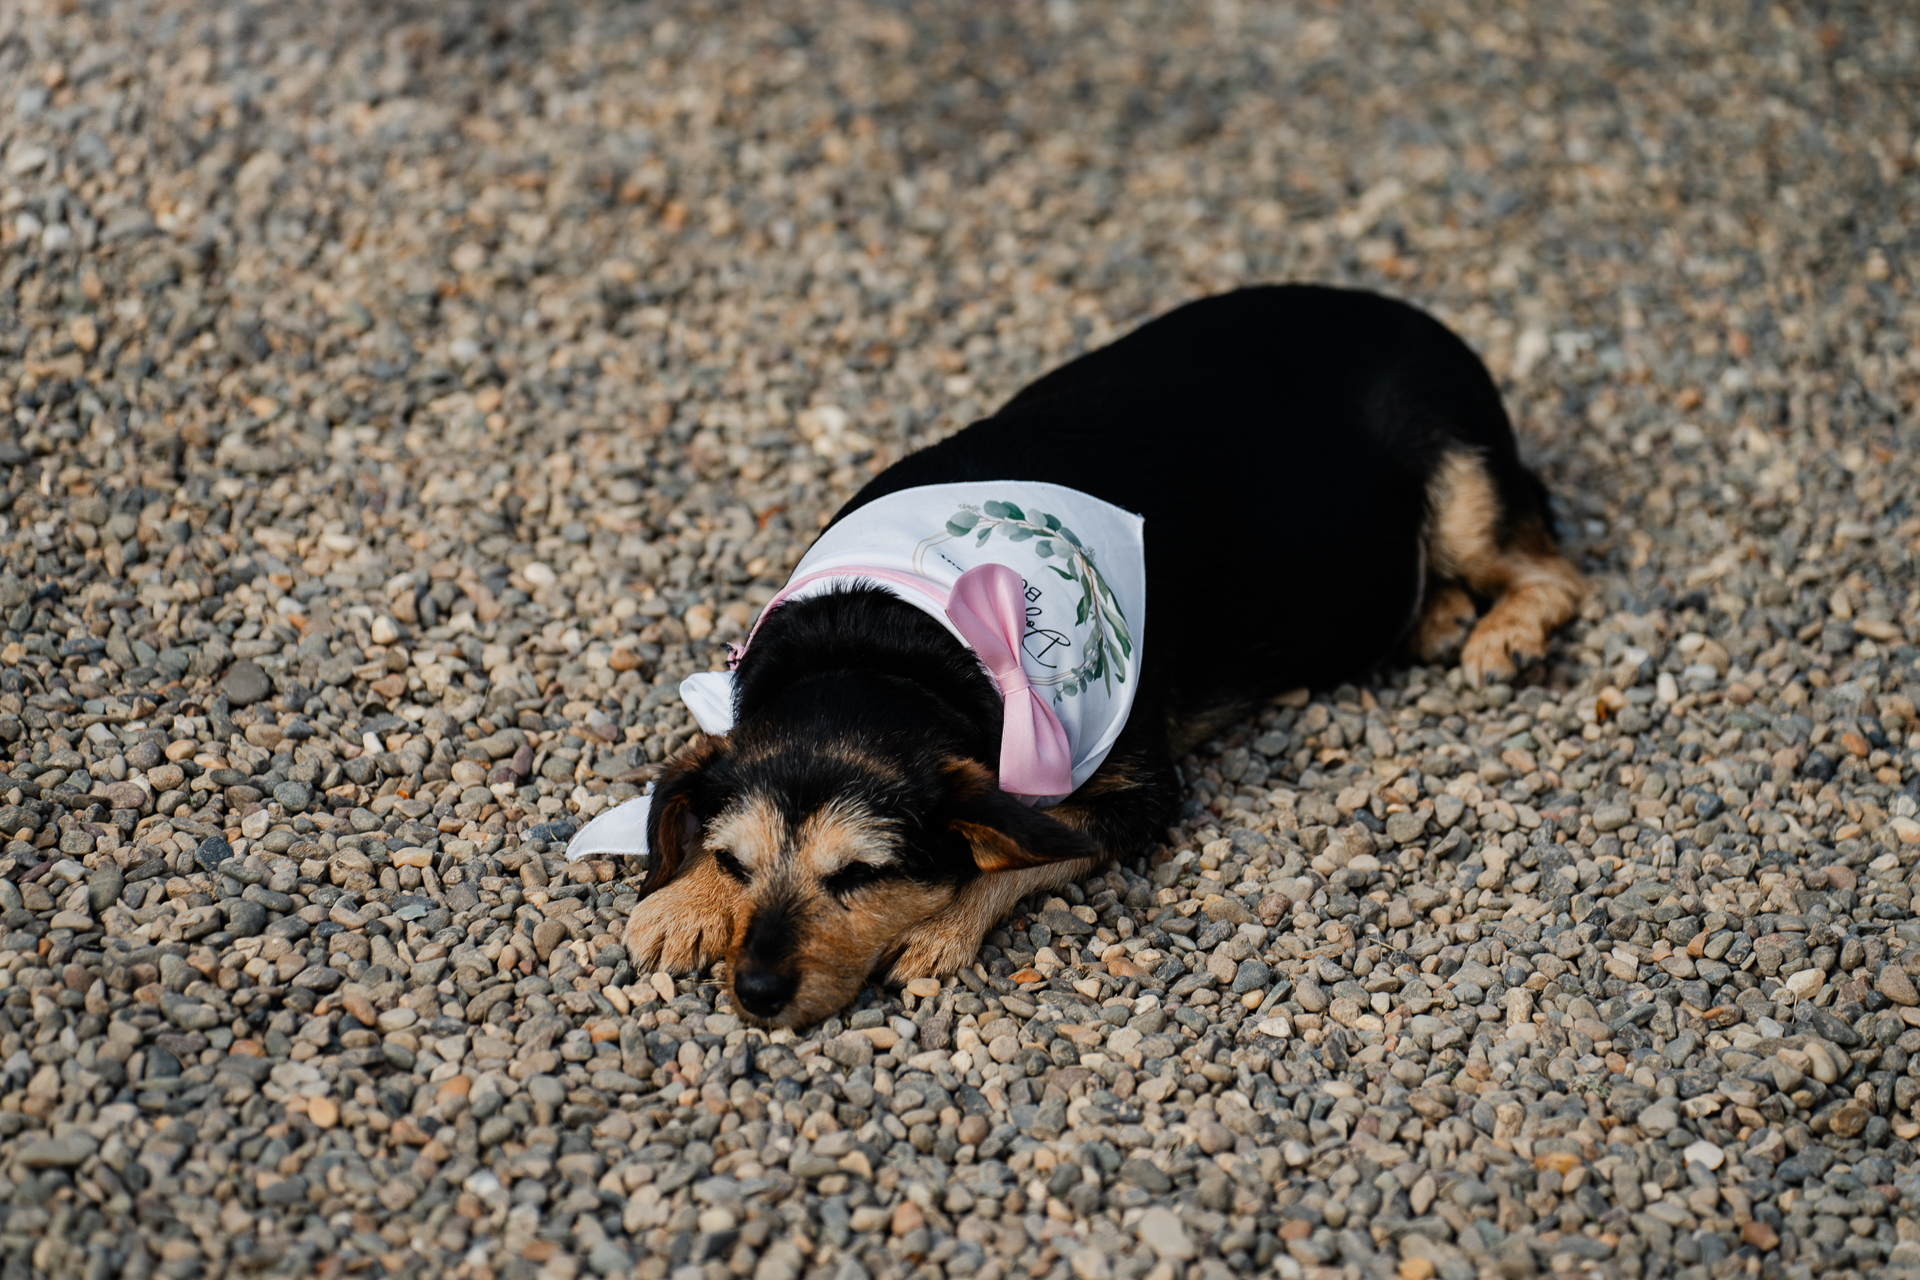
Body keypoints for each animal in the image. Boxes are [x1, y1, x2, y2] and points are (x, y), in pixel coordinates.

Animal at [622, 285, 1582, 1028]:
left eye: (862, 874)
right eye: (735, 863)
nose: (756, 992)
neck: (891, 645)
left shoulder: (1138, 795)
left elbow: (1017, 848)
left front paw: (939, 924)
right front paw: (682, 901)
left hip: (1460, 470)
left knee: (1553, 571)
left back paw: (1502, 634)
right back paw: (1441, 617)